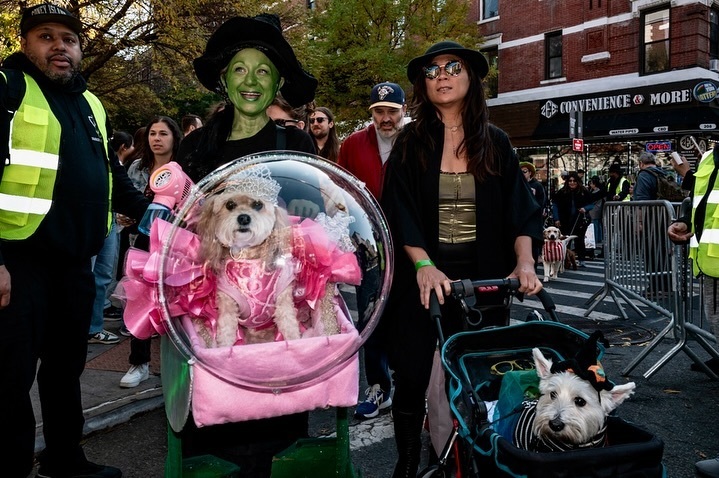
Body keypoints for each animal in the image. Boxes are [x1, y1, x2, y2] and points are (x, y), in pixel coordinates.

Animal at [194, 166, 300, 346]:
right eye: (230, 204)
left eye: (258, 204)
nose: (243, 218)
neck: (249, 256)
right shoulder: (228, 306)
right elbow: (226, 335)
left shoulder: (283, 300)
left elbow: (291, 328)